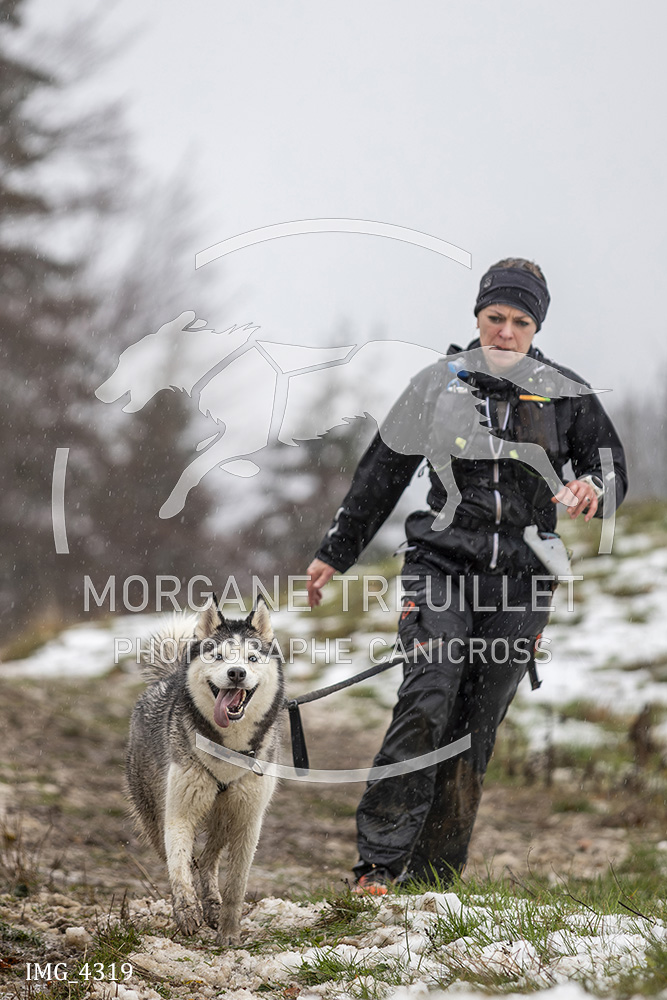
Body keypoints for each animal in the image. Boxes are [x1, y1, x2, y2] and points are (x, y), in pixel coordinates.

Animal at [125, 595, 284, 945]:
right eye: (218, 656)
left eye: (252, 658)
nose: (236, 673)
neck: (228, 749)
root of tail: (167, 677)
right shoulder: (179, 812)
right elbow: (179, 866)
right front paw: (187, 911)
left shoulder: (248, 820)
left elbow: (236, 883)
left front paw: (229, 932)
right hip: (154, 815)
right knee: (186, 859)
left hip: (223, 815)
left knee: (209, 859)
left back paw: (212, 904)